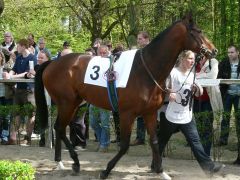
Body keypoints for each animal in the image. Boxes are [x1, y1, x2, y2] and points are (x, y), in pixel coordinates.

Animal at [34, 13, 218, 179]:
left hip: (74, 103)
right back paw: (72, 163)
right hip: (67, 103)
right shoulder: (127, 114)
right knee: (59, 127)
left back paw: (63, 162)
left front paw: (161, 171)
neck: (145, 69)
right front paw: (106, 171)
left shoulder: (149, 113)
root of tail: (52, 63)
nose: (214, 50)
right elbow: (124, 145)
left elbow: (154, 141)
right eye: (198, 31)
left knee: (59, 127)